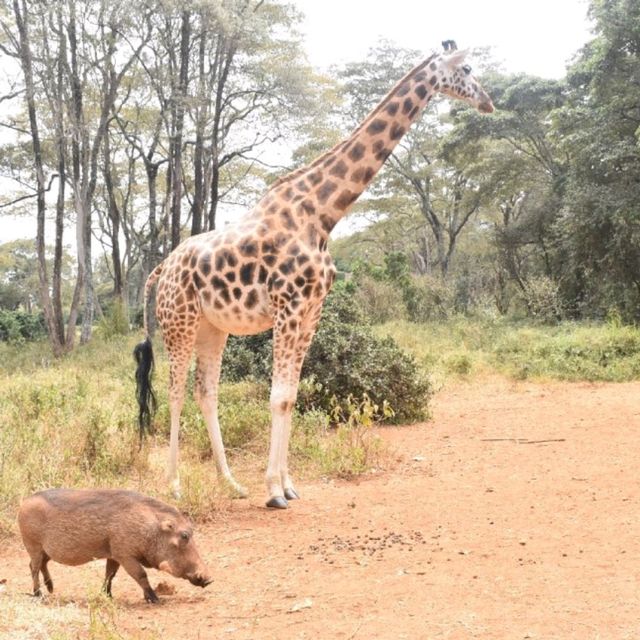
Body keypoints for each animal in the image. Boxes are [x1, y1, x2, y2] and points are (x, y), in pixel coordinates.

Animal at [134, 41, 496, 510]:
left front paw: (287, 485)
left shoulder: (311, 312)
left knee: (205, 392)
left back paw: (230, 483)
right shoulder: (288, 306)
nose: (488, 102)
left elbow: (291, 395)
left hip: (214, 327)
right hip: (179, 321)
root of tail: (162, 268)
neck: (323, 215)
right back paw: (175, 485)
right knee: (176, 391)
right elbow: (278, 396)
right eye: (467, 69)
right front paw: (274, 491)